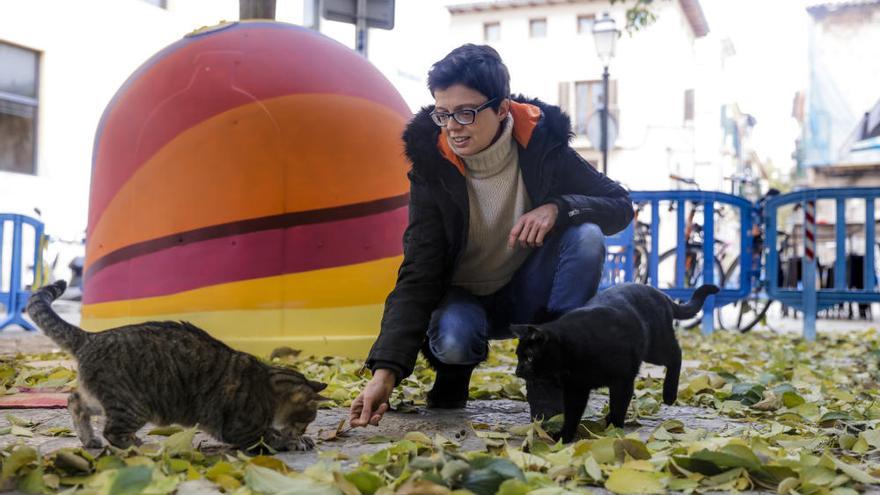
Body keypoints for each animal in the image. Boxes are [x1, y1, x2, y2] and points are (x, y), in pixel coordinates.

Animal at [30, 280, 330, 452]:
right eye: (307, 420)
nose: (303, 431)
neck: (267, 384)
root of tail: (91, 336)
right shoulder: (241, 428)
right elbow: (269, 437)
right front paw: (292, 440)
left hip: (103, 398)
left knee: (74, 400)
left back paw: (89, 439)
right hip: (133, 404)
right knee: (112, 431)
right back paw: (137, 445)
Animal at [512, 282, 720, 442]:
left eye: (529, 357)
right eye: (517, 356)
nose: (517, 371)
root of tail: (661, 293)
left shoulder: (623, 380)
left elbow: (618, 406)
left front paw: (614, 430)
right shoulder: (576, 389)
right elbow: (572, 414)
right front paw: (564, 436)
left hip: (656, 347)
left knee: (676, 354)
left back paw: (669, 394)